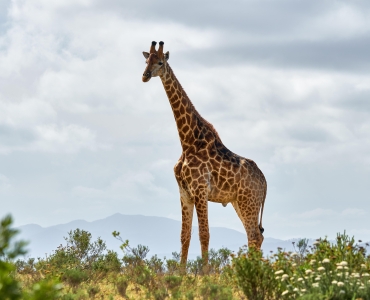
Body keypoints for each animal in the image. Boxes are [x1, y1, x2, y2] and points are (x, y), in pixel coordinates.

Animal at [141, 40, 266, 264]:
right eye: (146, 61)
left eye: (160, 62)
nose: (145, 76)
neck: (187, 142)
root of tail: (265, 181)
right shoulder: (184, 193)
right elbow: (185, 235)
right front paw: (180, 273)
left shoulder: (200, 190)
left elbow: (204, 234)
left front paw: (205, 272)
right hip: (239, 202)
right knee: (256, 237)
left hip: (249, 202)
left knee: (253, 236)